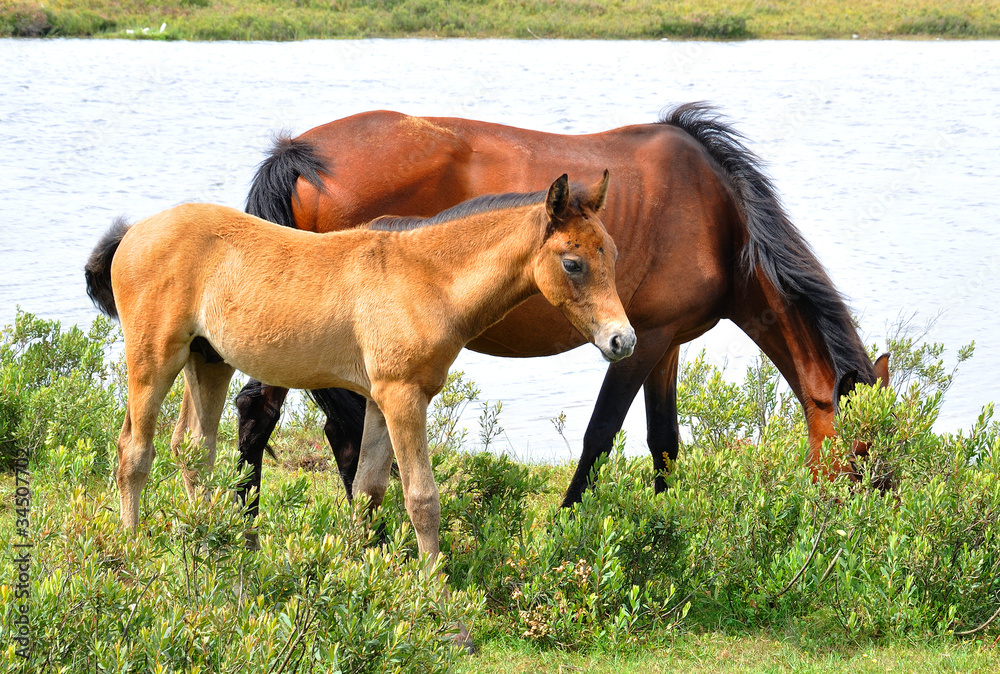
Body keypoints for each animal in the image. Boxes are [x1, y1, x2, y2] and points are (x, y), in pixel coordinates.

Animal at [83, 174, 634, 565]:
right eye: (572, 263)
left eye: (612, 252)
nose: (622, 340)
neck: (427, 278)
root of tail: (133, 233)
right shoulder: (403, 395)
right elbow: (421, 496)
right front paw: (434, 588)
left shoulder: (376, 397)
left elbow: (369, 489)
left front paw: (354, 570)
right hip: (155, 358)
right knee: (135, 450)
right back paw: (131, 547)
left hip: (207, 360)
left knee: (193, 449)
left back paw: (204, 542)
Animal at [235, 103, 889, 517]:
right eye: (864, 453)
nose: (872, 524)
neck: (720, 219)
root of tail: (297, 154)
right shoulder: (643, 341)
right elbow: (602, 434)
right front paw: (570, 524)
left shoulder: (666, 344)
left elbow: (665, 441)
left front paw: (669, 524)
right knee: (305, 423)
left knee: (277, 415)